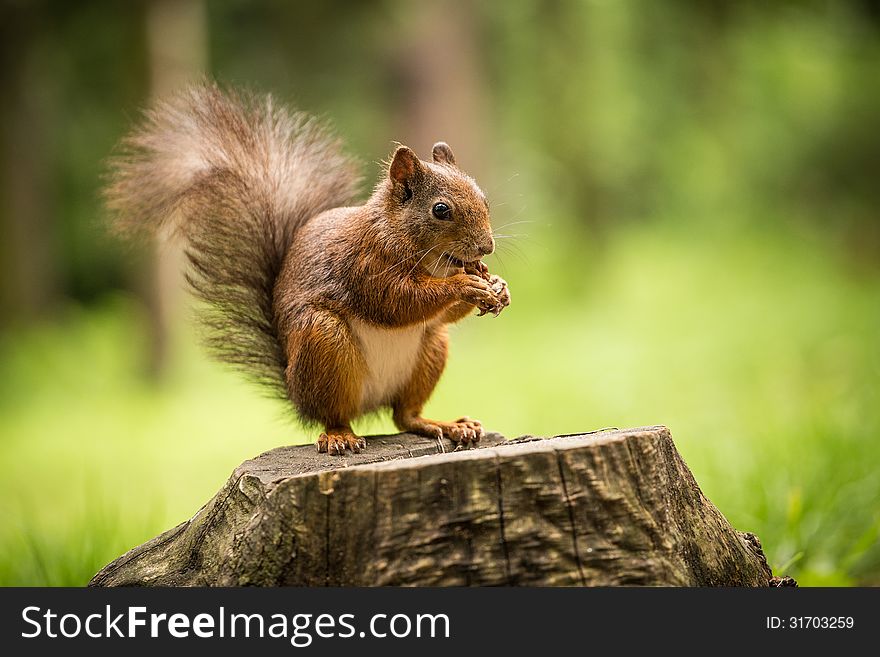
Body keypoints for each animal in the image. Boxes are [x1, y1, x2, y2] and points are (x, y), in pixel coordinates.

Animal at [105, 82, 508, 454]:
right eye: (441, 210)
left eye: (483, 198)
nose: (486, 246)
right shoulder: (365, 265)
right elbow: (396, 302)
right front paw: (465, 286)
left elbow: (441, 313)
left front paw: (497, 287)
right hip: (323, 341)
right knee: (334, 414)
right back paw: (340, 436)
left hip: (431, 346)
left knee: (405, 414)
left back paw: (446, 425)